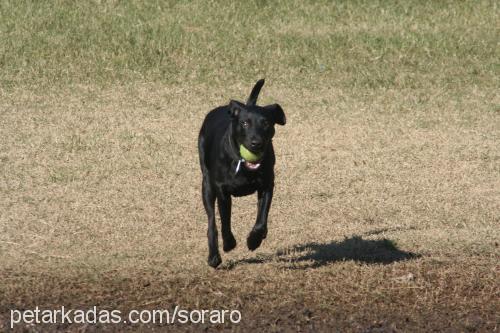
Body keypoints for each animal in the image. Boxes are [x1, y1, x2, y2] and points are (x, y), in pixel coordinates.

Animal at [198, 80, 286, 268]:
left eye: (266, 123)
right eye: (245, 123)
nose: (256, 143)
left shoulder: (267, 186)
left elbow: (261, 219)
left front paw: (254, 239)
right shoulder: (222, 190)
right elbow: (225, 220)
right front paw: (229, 243)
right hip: (207, 184)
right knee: (212, 222)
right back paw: (214, 257)